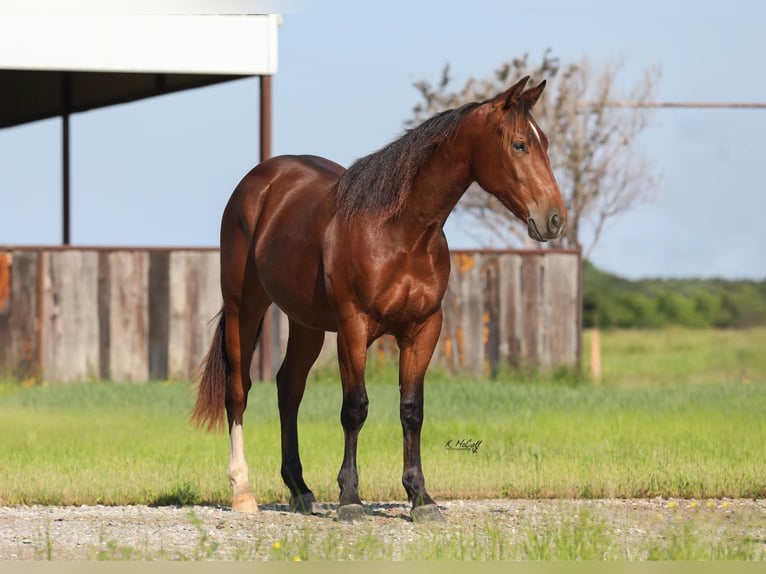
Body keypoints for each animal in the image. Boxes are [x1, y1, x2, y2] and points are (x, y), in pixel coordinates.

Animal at [194, 77, 564, 528]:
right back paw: (243, 491)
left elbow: (411, 410)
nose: (554, 219)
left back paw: (300, 489)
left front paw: (420, 497)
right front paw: (350, 498)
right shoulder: (354, 328)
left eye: (544, 142)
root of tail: (257, 184)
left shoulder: (424, 329)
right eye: (519, 145)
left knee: (289, 388)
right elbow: (355, 408)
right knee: (239, 389)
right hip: (244, 306)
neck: (401, 232)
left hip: (307, 324)